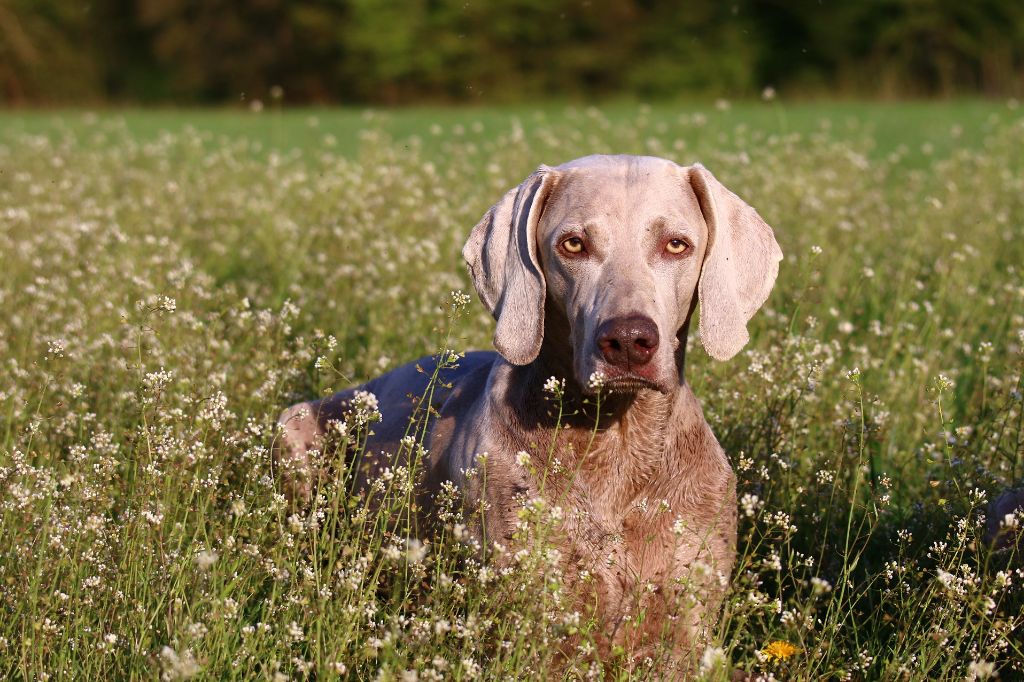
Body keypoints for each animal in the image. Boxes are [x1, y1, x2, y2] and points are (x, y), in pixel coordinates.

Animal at [276, 153, 778, 667]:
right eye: (573, 244)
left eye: (676, 244)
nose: (628, 341)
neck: (616, 448)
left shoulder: (687, 626)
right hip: (292, 425)